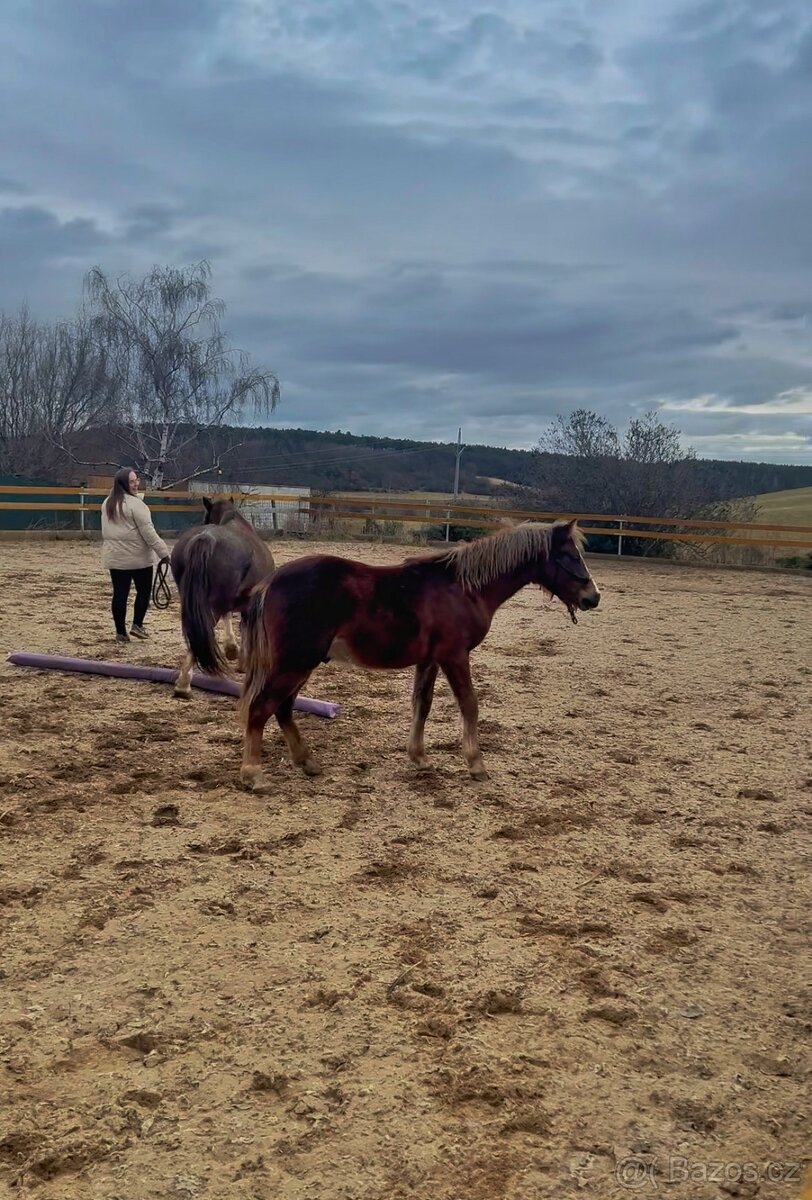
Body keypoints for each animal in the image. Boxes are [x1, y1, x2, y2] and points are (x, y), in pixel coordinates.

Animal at [169, 497, 275, 699]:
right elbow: (245, 629)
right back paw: (183, 685)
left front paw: (232, 649)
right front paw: (240, 658)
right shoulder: (248, 605)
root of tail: (205, 539)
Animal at [237, 519, 600, 792]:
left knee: (282, 708)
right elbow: (470, 704)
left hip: (300, 664)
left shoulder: (430, 660)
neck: (464, 589)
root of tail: (269, 583)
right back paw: (254, 774)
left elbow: (421, 705)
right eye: (570, 556)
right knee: (261, 707)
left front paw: (419, 757)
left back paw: (307, 762)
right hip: (295, 663)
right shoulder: (455, 656)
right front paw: (476, 763)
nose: (592, 597)